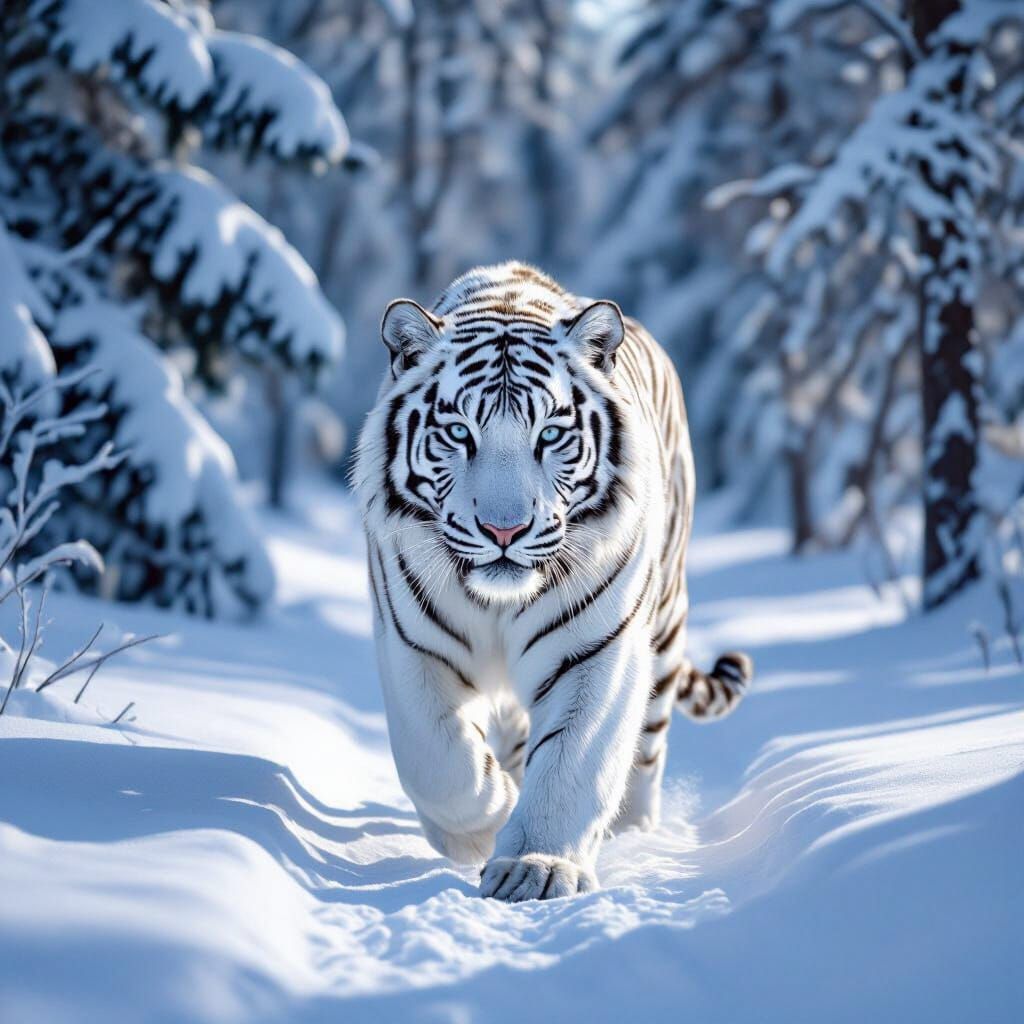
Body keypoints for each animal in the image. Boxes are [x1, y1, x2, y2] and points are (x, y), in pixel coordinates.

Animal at [353, 261, 751, 902]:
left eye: (549, 435)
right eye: (459, 433)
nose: (504, 529)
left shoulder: (595, 650)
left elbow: (572, 759)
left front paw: (534, 867)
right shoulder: (412, 643)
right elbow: (438, 759)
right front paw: (483, 827)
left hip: (664, 630)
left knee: (646, 752)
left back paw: (633, 831)